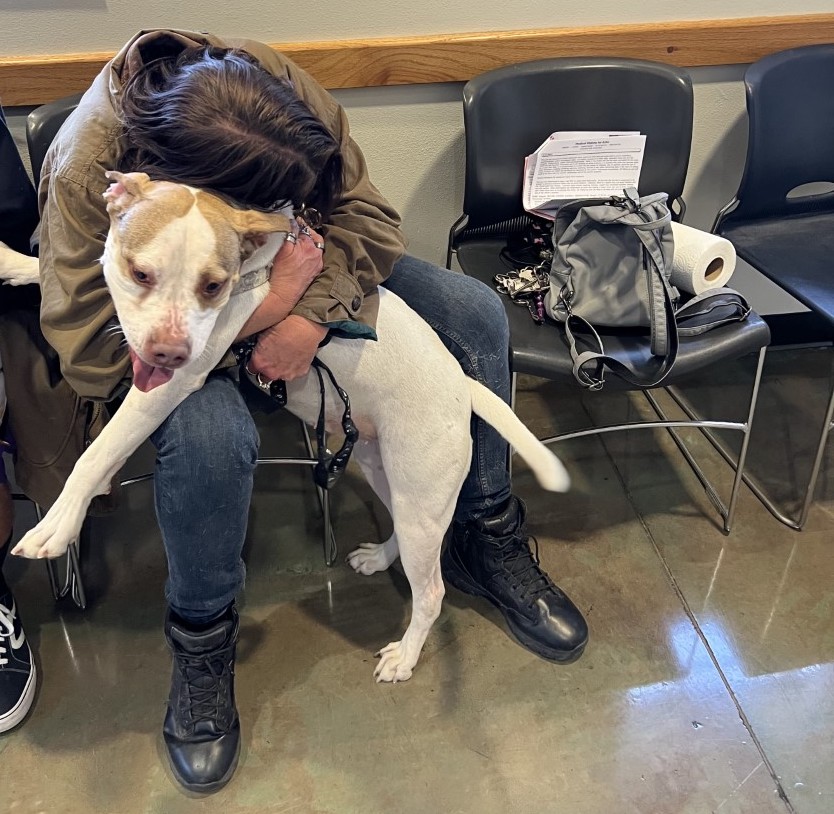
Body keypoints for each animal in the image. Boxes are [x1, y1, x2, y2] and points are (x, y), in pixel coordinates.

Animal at [0, 175, 568, 684]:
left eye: (213, 287)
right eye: (140, 273)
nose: (167, 352)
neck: (254, 261)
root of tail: (462, 383)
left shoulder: (170, 384)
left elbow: (96, 453)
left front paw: (56, 526)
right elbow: (74, 273)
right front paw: (16, 262)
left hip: (422, 494)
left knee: (430, 592)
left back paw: (404, 657)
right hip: (390, 476)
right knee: (410, 542)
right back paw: (380, 558)